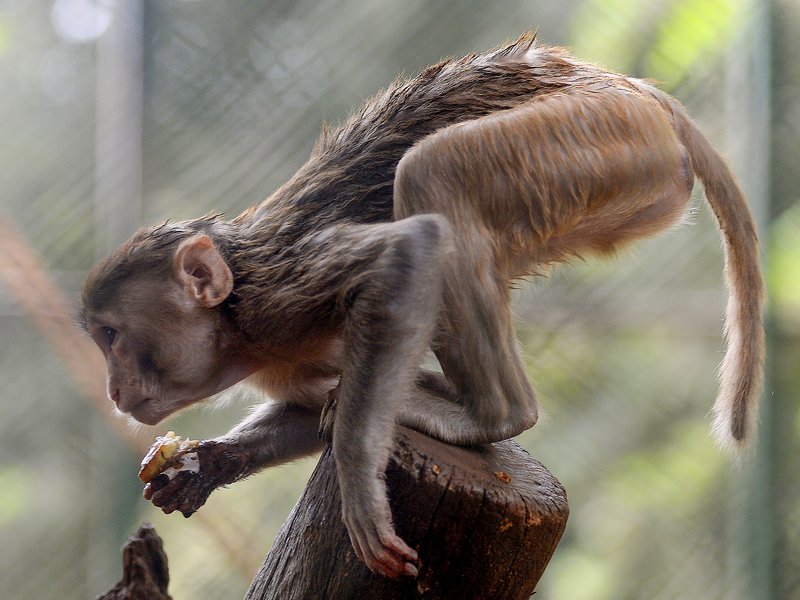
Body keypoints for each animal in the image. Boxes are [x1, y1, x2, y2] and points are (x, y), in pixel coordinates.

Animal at [80, 34, 764, 579]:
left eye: (111, 336)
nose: (112, 387)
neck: (238, 325)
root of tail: (635, 91)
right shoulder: (282, 355)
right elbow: (312, 404)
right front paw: (205, 465)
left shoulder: (281, 291)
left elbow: (407, 254)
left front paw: (358, 477)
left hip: (598, 139)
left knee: (436, 173)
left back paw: (492, 413)